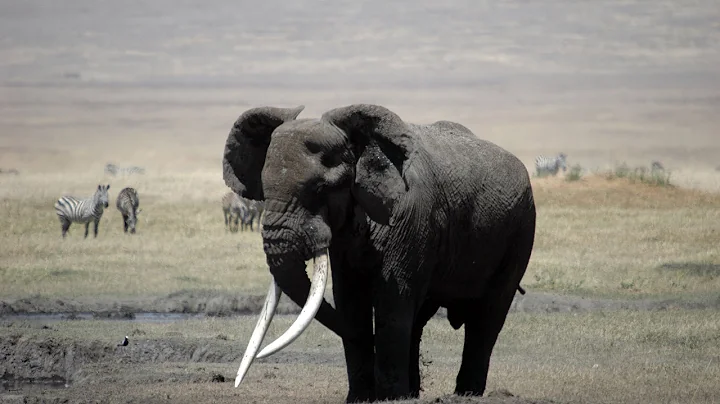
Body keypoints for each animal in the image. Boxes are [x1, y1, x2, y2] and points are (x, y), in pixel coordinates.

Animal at [224, 103, 536, 400]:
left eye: (321, 188)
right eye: (264, 190)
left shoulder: (409, 216)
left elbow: (392, 300)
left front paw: (388, 397)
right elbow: (351, 300)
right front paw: (361, 398)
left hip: (521, 228)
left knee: (487, 317)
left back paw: (465, 394)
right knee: (418, 317)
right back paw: (413, 392)